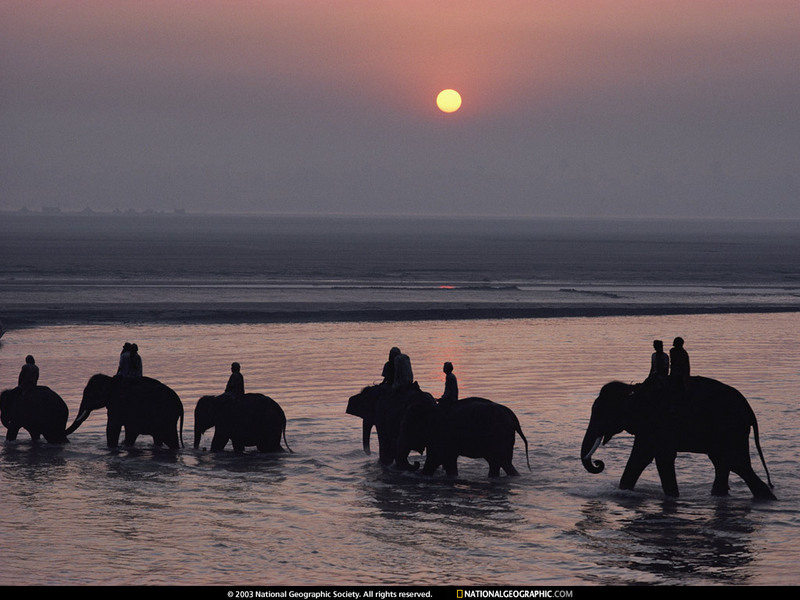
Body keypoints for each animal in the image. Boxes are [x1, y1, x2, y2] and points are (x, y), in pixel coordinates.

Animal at [396, 398, 532, 478]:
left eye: (405, 426)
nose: (416, 462)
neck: (431, 409)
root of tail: (513, 418)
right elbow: (449, 461)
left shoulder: (440, 435)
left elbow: (436, 458)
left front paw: (423, 475)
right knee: (497, 463)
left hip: (500, 437)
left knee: (503, 462)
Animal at [580, 378, 776, 500]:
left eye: (600, 413)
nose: (598, 463)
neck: (633, 389)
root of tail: (749, 411)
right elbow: (641, 457)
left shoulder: (659, 422)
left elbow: (659, 458)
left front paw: (672, 497)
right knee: (726, 463)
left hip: (732, 429)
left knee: (735, 463)